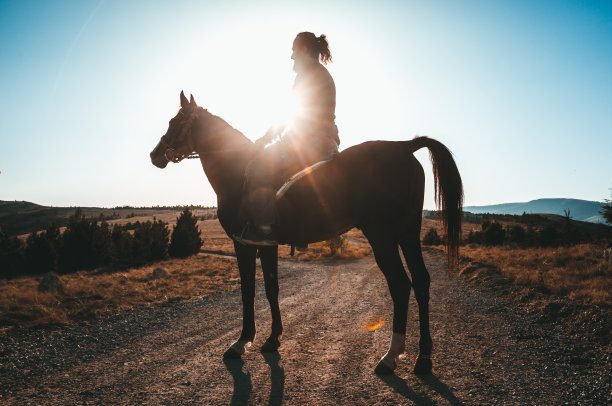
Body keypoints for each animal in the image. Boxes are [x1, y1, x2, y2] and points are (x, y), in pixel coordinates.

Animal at [151, 91, 462, 374]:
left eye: (175, 121)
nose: (155, 155)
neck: (236, 171)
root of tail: (404, 147)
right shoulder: (267, 244)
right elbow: (272, 288)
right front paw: (273, 339)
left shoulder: (244, 243)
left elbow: (248, 291)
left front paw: (242, 342)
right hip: (407, 234)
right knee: (421, 282)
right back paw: (423, 357)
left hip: (382, 236)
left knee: (400, 285)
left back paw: (391, 355)